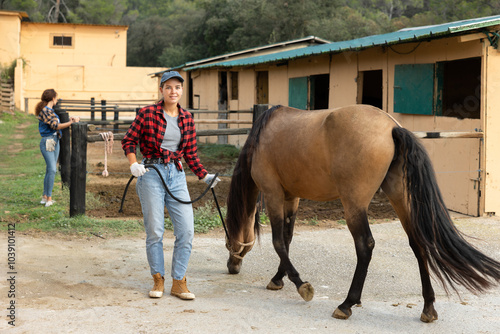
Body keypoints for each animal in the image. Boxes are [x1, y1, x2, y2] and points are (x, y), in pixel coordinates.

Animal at [225, 105, 500, 324]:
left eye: (228, 241)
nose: (232, 266)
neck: (262, 137)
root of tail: (391, 127)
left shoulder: (272, 193)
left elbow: (278, 242)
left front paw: (301, 285)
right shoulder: (292, 197)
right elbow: (288, 239)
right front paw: (279, 278)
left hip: (354, 205)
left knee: (365, 246)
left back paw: (346, 304)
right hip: (400, 198)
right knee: (418, 244)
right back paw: (428, 308)